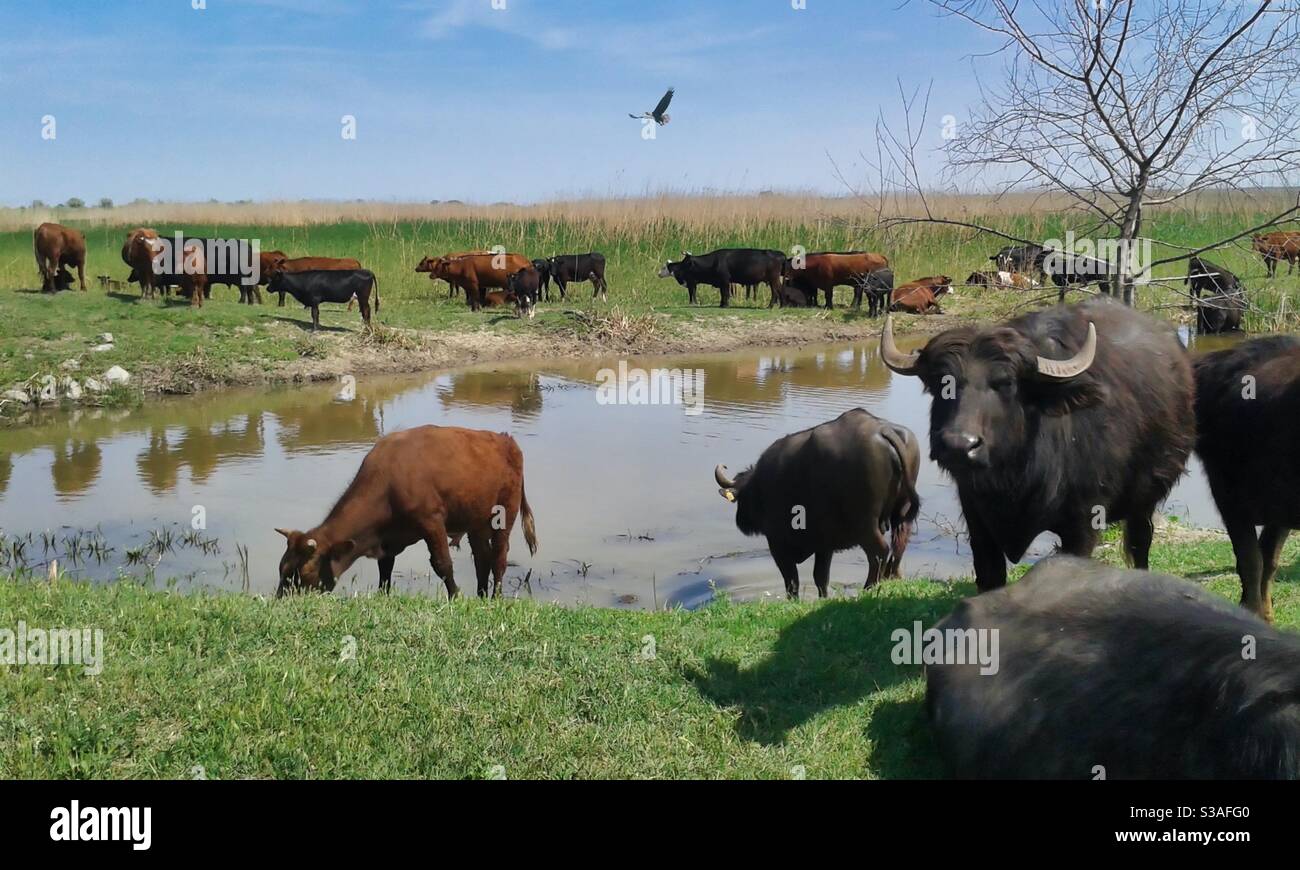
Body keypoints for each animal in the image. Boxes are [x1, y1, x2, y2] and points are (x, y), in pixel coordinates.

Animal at [713, 408, 921, 597]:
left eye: (741, 499)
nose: (741, 520)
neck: (761, 486)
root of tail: (883, 429)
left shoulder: (777, 544)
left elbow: (792, 581)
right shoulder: (824, 546)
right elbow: (820, 577)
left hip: (865, 524)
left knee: (879, 552)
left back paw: (868, 588)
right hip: (902, 512)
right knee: (899, 545)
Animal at [880, 298, 1195, 591]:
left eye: (1005, 383)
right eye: (940, 383)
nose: (959, 445)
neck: (1018, 477)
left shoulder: (1083, 523)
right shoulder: (977, 519)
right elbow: (989, 577)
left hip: (1147, 498)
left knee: (1141, 543)